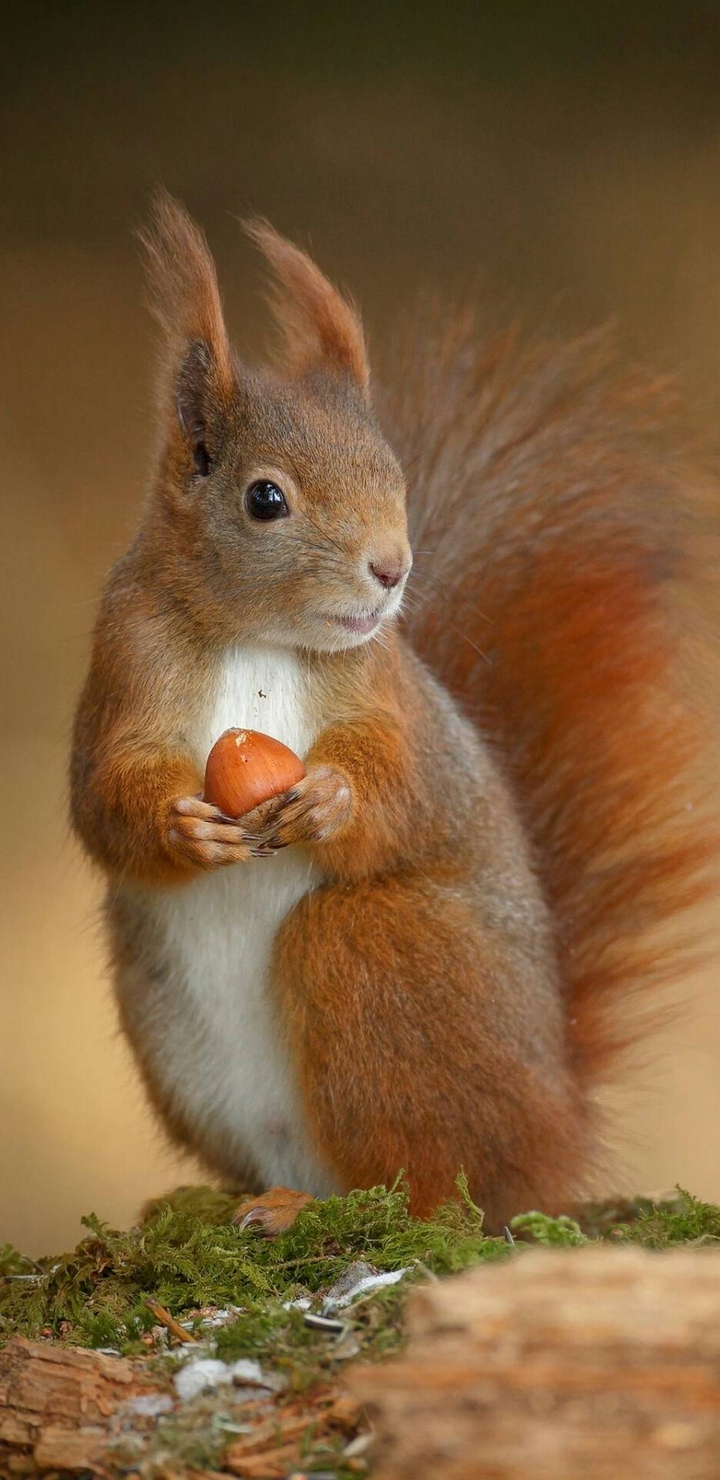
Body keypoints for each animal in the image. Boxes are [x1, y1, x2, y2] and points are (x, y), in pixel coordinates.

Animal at [70, 192, 717, 1236]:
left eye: (394, 474)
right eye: (264, 498)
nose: (392, 568)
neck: (256, 638)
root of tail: (556, 1133)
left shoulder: (390, 694)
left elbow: (404, 784)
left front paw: (333, 800)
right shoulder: (125, 660)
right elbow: (101, 797)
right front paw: (179, 826)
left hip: (384, 953)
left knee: (430, 1184)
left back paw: (327, 1208)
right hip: (169, 1028)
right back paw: (247, 1201)